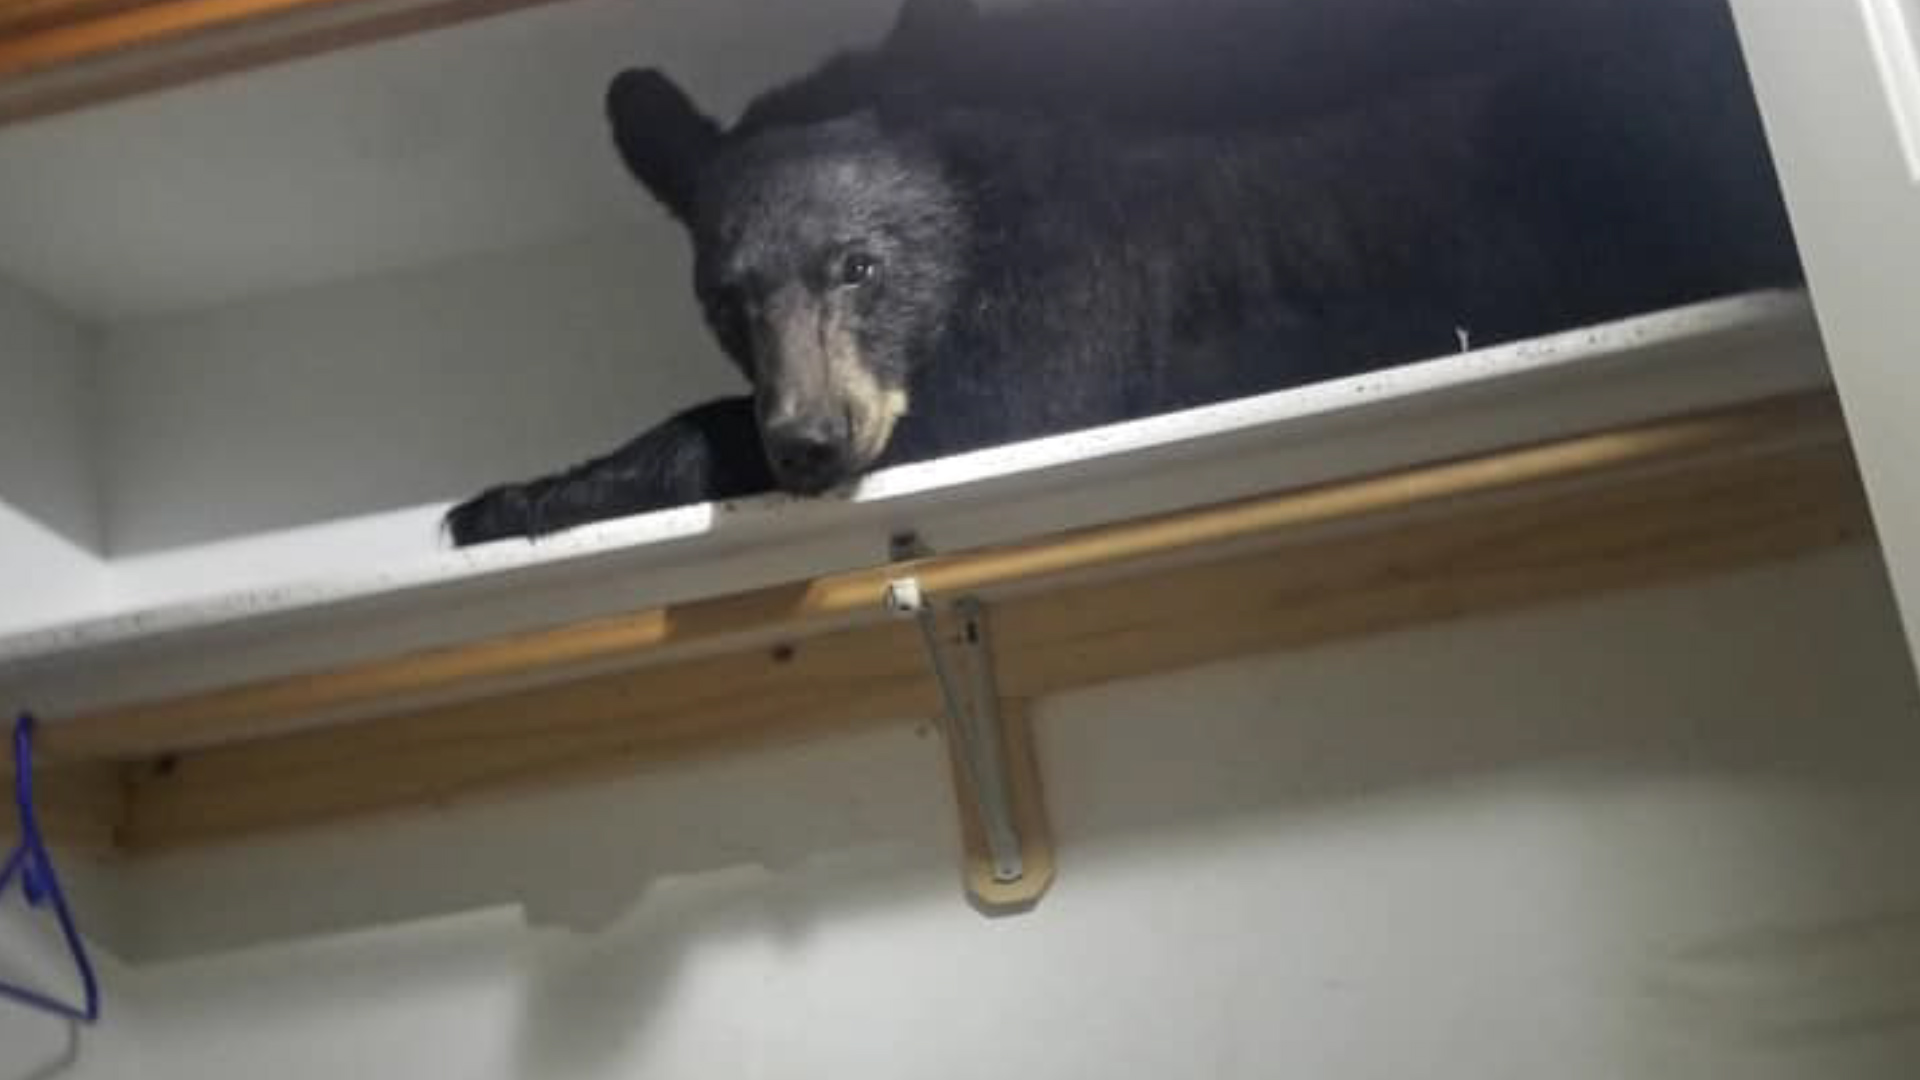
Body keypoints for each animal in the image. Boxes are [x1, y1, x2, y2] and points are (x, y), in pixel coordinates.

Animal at [444, 0, 1802, 546]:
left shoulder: (1082, 289)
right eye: (725, 299)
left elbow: (1004, 399)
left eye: (861, 264)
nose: (811, 446)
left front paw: (523, 492)